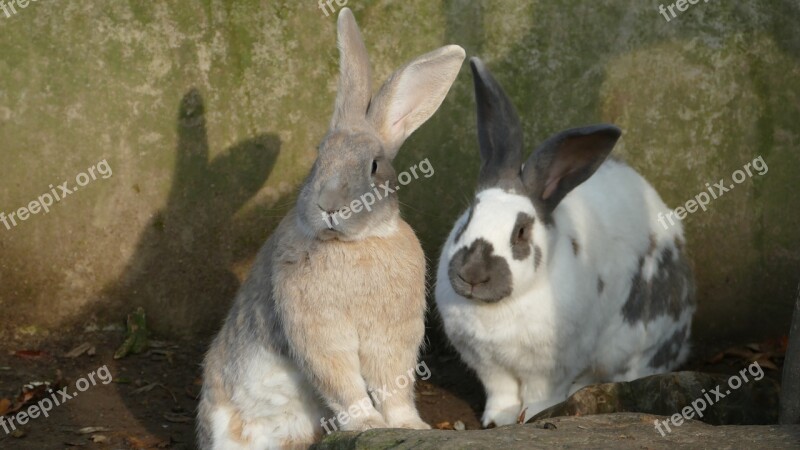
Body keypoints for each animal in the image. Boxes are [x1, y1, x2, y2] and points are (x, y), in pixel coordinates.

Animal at [434, 58, 696, 428]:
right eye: (470, 214)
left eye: (521, 232)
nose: (472, 275)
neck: (499, 309)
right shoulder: (489, 365)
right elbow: (501, 393)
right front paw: (498, 420)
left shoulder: (550, 367)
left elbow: (540, 395)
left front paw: (532, 416)